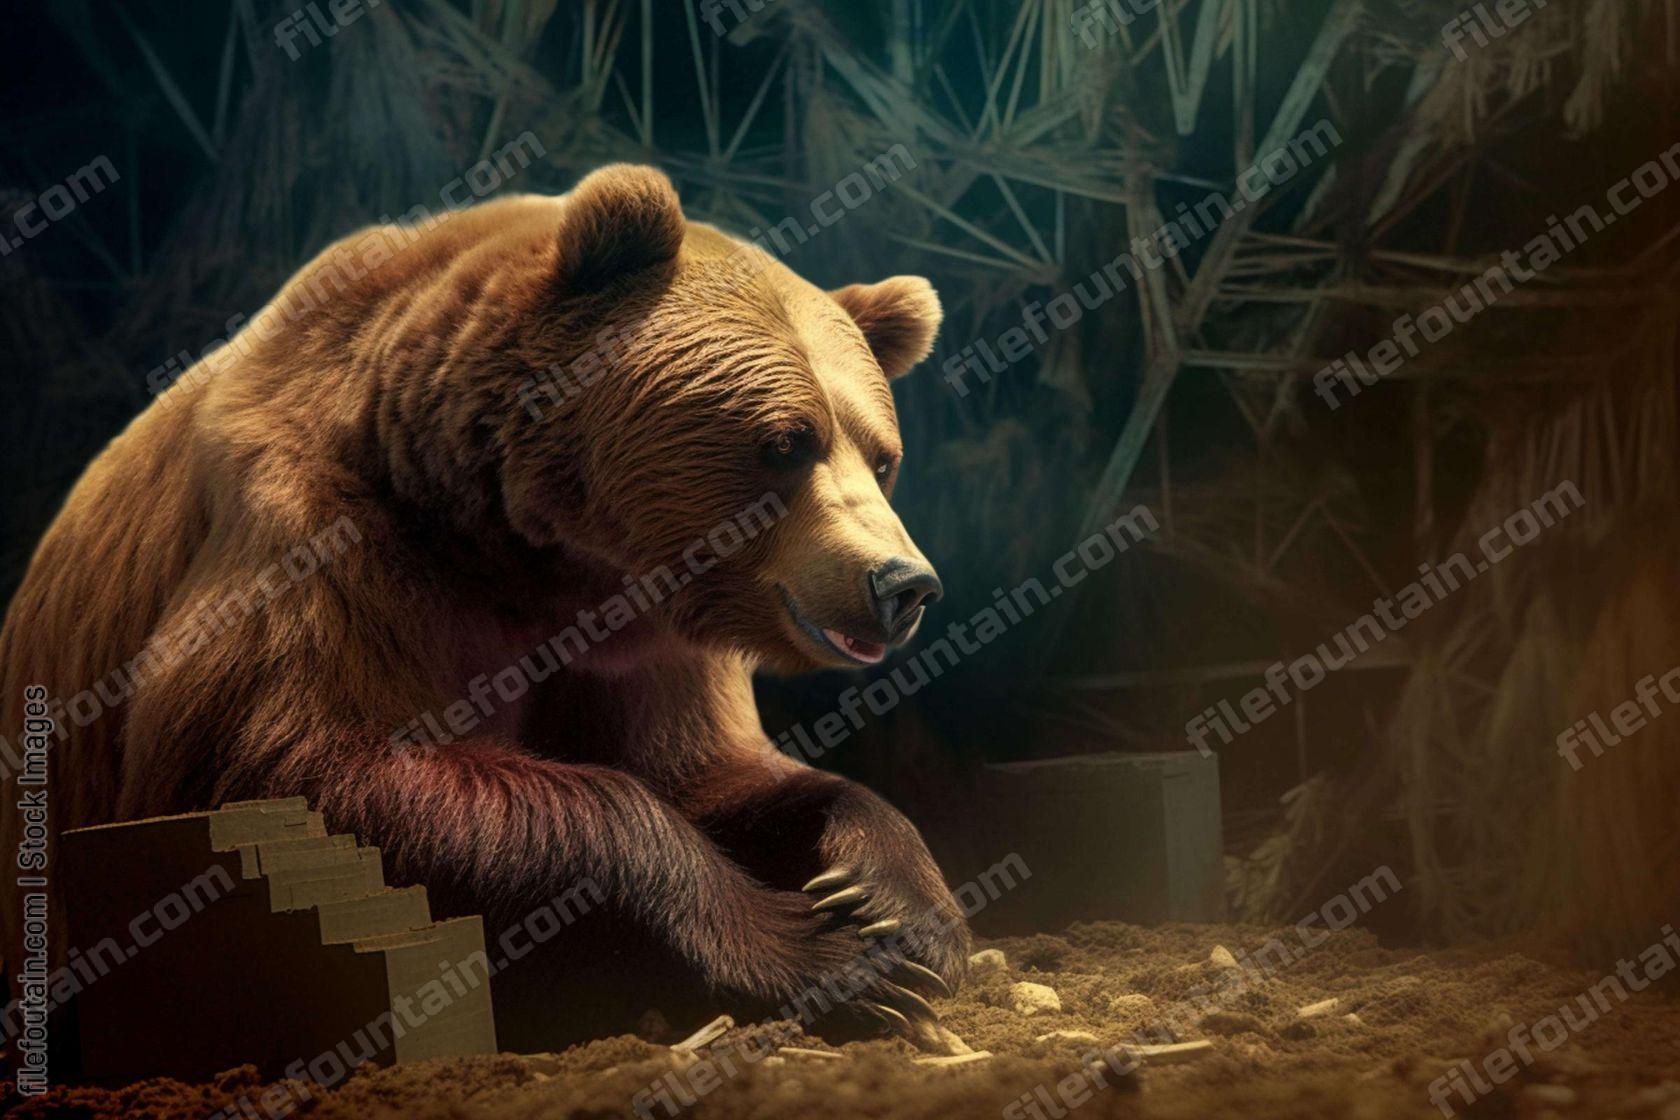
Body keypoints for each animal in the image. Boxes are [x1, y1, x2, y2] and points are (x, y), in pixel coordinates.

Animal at [0, 164, 969, 1053]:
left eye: (881, 456)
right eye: (786, 443)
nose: (902, 581)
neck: (519, 551)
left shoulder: (639, 637)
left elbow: (715, 773)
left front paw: (893, 903)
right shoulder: (314, 534)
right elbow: (294, 765)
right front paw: (823, 955)